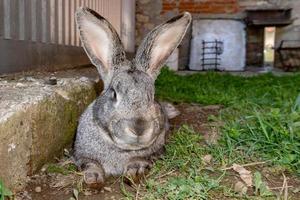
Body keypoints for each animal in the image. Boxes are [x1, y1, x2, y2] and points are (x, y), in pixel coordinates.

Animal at [74, 6, 191, 188]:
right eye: (114, 93)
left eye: (152, 96)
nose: (139, 128)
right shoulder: (81, 155)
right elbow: (90, 164)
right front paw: (93, 179)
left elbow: (139, 160)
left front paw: (133, 173)